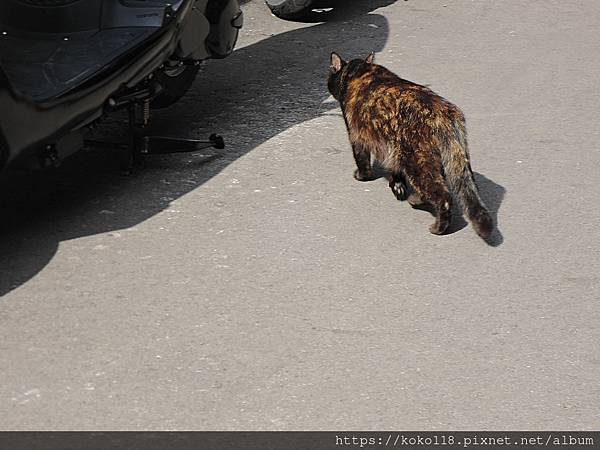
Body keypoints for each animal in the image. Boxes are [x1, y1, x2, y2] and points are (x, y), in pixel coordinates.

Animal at [328, 51, 492, 239]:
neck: (361, 71)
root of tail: (444, 113)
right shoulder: (392, 147)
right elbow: (395, 169)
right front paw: (397, 186)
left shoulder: (356, 135)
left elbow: (361, 159)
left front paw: (362, 176)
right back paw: (414, 199)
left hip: (416, 162)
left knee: (443, 197)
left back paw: (437, 227)